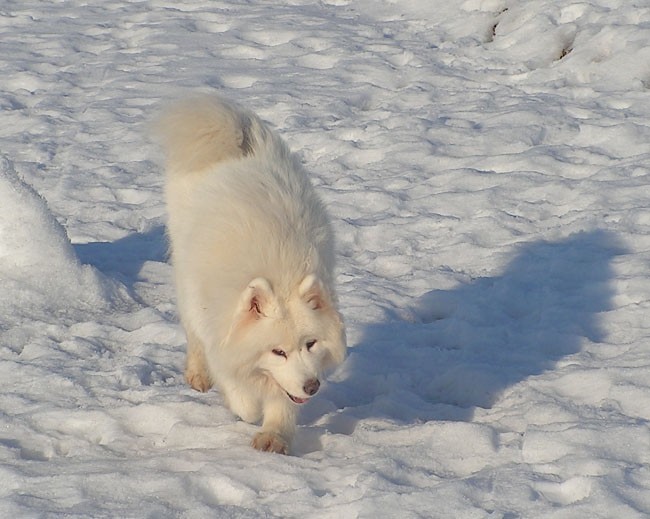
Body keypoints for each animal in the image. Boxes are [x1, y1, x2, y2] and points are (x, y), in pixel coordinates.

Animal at [156, 95, 346, 452]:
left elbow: (282, 398)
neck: (279, 273)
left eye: (311, 343)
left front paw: (274, 435)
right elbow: (239, 390)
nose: (312, 386)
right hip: (186, 278)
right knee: (194, 337)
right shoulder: (217, 325)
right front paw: (244, 405)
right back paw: (198, 375)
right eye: (278, 351)